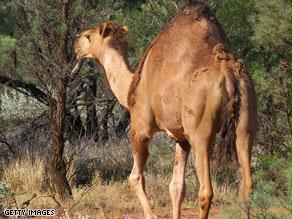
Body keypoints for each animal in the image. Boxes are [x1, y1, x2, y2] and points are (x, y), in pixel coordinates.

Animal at [72, 2, 256, 219]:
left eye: (88, 36)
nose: (75, 44)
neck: (130, 86)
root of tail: (228, 74)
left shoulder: (140, 128)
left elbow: (135, 178)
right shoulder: (181, 137)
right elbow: (176, 187)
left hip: (200, 131)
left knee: (206, 191)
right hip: (246, 119)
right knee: (246, 183)